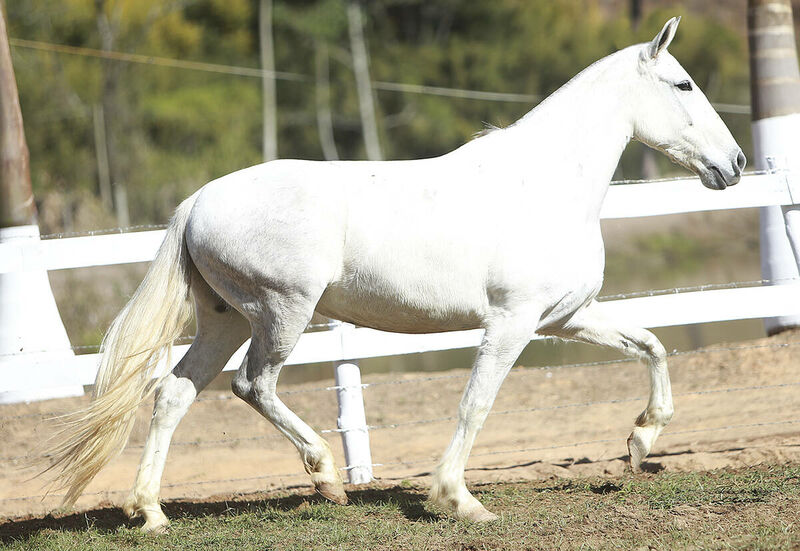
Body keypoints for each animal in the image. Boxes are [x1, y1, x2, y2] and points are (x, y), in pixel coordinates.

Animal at [45, 17, 744, 532]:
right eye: (683, 85)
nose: (733, 164)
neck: (543, 186)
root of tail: (197, 201)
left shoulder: (562, 319)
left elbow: (652, 346)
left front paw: (640, 441)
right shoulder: (511, 323)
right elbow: (476, 403)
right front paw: (459, 501)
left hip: (224, 320)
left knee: (174, 392)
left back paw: (152, 514)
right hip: (281, 313)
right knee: (252, 384)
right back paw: (326, 477)